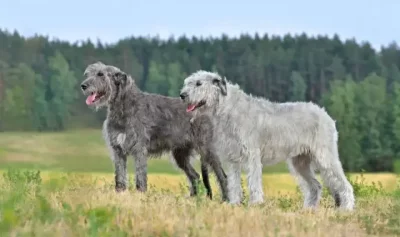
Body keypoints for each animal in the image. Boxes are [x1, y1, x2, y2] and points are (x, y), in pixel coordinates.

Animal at [79, 61, 228, 200]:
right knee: (195, 175)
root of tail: (206, 107)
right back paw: (192, 198)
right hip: (180, 153)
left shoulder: (139, 149)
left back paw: (226, 200)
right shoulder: (118, 150)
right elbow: (120, 176)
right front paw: (120, 195)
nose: (83, 86)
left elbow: (140, 176)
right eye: (90, 74)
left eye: (101, 74)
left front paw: (140, 195)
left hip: (207, 149)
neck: (124, 105)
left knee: (222, 175)